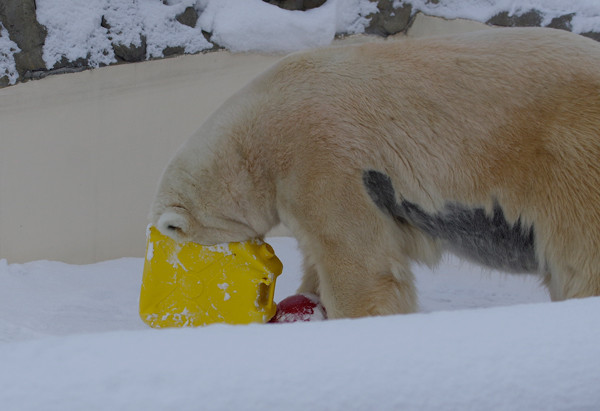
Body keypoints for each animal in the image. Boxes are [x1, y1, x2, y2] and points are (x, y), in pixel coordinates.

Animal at [149, 28, 600, 318]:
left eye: (171, 235)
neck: (256, 137)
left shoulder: (325, 157)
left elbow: (360, 264)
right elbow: (316, 255)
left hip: (568, 156)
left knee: (580, 256)